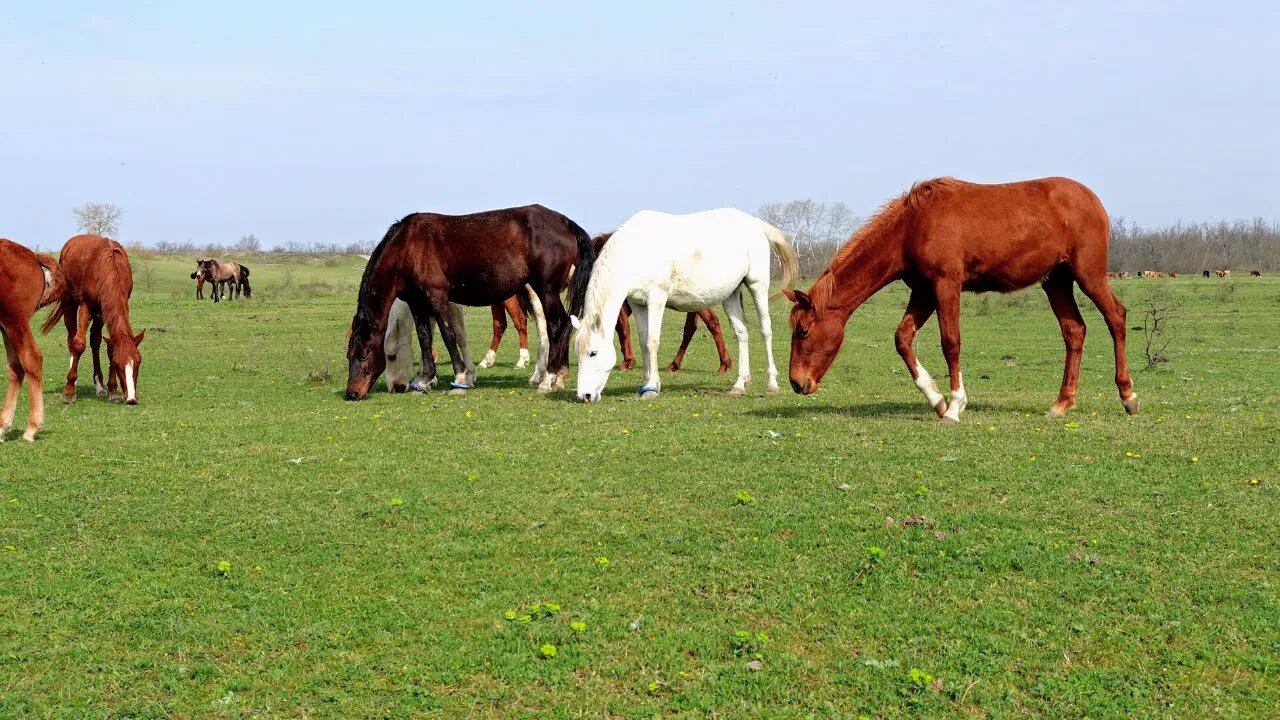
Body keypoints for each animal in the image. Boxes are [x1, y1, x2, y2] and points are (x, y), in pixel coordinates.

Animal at [0, 238, 63, 440]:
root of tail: (33, 256)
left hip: (15, 322)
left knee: (31, 359)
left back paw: (31, 428)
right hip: (6, 326)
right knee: (16, 367)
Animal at [40, 235, 145, 404]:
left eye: (138, 362)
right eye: (118, 364)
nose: (131, 399)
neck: (109, 267)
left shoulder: (111, 306)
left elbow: (108, 345)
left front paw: (112, 391)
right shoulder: (86, 306)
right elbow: (78, 344)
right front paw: (69, 391)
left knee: (95, 340)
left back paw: (99, 386)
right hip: (69, 301)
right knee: (71, 337)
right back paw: (73, 382)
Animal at [345, 204, 593, 399]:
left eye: (365, 353)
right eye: (349, 354)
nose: (353, 393)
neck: (407, 248)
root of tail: (565, 222)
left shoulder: (438, 297)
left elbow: (449, 335)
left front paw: (460, 378)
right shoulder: (417, 303)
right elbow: (425, 338)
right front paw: (424, 380)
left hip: (546, 291)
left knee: (555, 327)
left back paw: (547, 379)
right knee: (564, 325)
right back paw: (558, 377)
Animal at [568, 207, 788, 399]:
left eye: (593, 353)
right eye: (577, 353)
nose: (584, 396)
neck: (636, 253)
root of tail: (756, 224)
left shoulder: (656, 298)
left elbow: (652, 342)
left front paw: (651, 387)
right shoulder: (638, 304)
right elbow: (643, 342)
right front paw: (645, 383)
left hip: (757, 286)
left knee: (765, 330)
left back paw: (772, 383)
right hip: (731, 295)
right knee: (742, 333)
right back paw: (740, 385)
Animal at [783, 175, 1136, 420]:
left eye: (803, 330)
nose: (797, 383)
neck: (913, 226)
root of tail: (1091, 199)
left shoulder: (946, 285)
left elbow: (950, 342)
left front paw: (954, 406)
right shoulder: (924, 290)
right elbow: (903, 338)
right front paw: (937, 401)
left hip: (1088, 275)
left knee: (1116, 317)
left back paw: (1128, 396)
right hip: (1057, 281)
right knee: (1074, 331)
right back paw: (1061, 403)